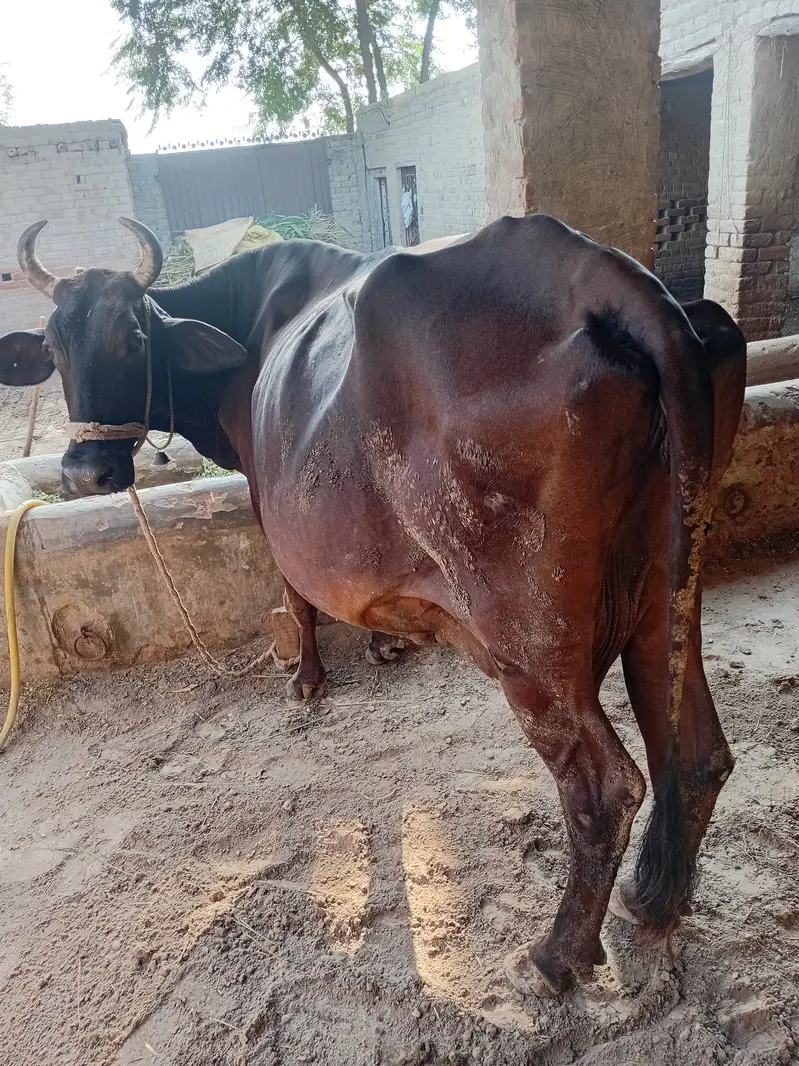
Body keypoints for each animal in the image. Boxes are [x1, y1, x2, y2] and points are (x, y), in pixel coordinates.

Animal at [0, 214, 746, 997]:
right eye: (52, 347)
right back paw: (655, 901)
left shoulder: (268, 501)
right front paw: (385, 643)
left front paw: (307, 678)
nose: (85, 472)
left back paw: (558, 953)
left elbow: (296, 596)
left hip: (531, 642)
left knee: (604, 787)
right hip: (664, 592)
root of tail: (605, 276)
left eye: (135, 339)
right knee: (694, 751)